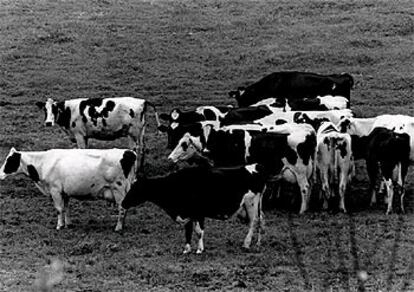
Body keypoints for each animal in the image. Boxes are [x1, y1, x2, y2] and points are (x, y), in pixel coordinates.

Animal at [0, 148, 137, 230]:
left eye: (10, 160)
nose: (0, 174)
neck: (43, 162)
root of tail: (129, 152)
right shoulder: (64, 192)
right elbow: (66, 208)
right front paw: (68, 224)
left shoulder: (55, 190)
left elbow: (59, 209)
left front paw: (59, 226)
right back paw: (122, 225)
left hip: (118, 188)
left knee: (122, 208)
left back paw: (118, 227)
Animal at [121, 163, 266, 254]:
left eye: (136, 188)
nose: (123, 203)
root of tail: (254, 166)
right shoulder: (188, 213)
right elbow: (188, 231)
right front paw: (186, 250)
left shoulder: (198, 213)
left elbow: (198, 231)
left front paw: (200, 249)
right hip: (255, 205)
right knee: (261, 220)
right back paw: (258, 244)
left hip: (251, 203)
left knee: (253, 222)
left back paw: (246, 244)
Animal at [168, 122, 316, 213]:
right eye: (179, 142)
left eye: (184, 144)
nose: (170, 158)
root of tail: (308, 129)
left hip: (300, 171)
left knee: (304, 188)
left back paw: (301, 210)